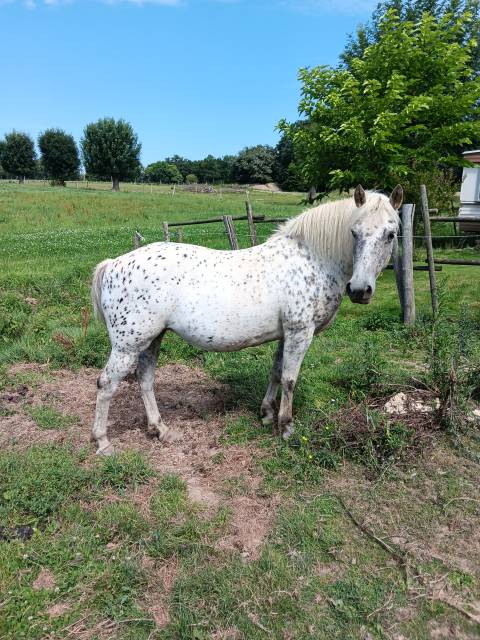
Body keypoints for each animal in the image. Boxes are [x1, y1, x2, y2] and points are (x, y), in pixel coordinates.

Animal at [89, 185, 402, 456]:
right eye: (354, 232)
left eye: (390, 234)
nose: (360, 291)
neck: (311, 260)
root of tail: (113, 264)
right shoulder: (300, 333)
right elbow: (290, 379)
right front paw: (286, 427)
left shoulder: (286, 335)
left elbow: (276, 372)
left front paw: (266, 414)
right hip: (128, 345)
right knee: (106, 384)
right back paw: (102, 442)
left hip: (153, 338)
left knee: (145, 378)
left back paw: (160, 429)